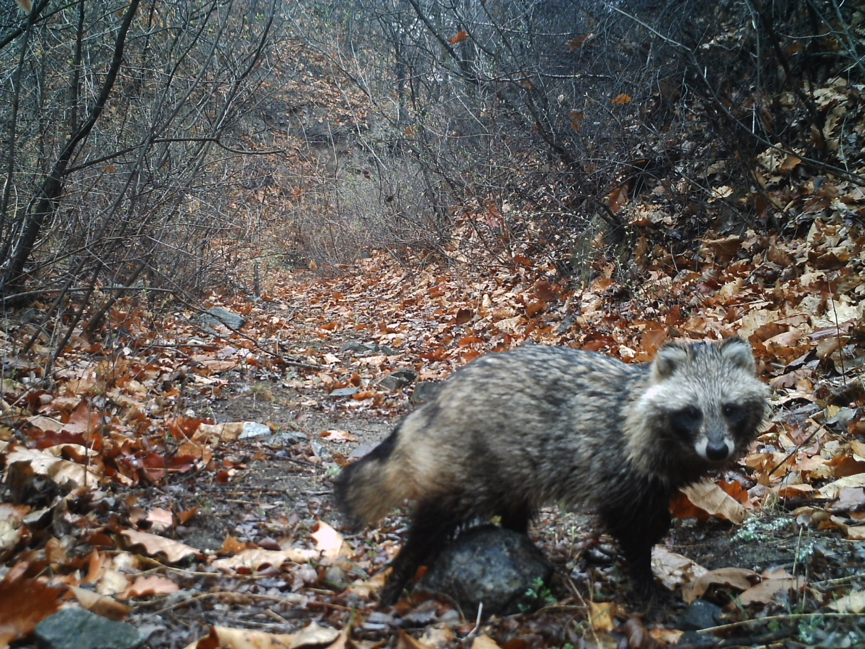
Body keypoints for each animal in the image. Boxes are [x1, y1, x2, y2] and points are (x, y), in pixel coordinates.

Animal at [332, 340, 768, 604]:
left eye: (729, 408)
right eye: (692, 413)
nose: (717, 450)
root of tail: (436, 401)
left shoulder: (656, 479)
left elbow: (655, 517)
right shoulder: (617, 467)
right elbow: (630, 530)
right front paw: (645, 584)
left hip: (513, 467)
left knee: (513, 511)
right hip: (468, 463)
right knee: (435, 519)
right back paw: (402, 569)